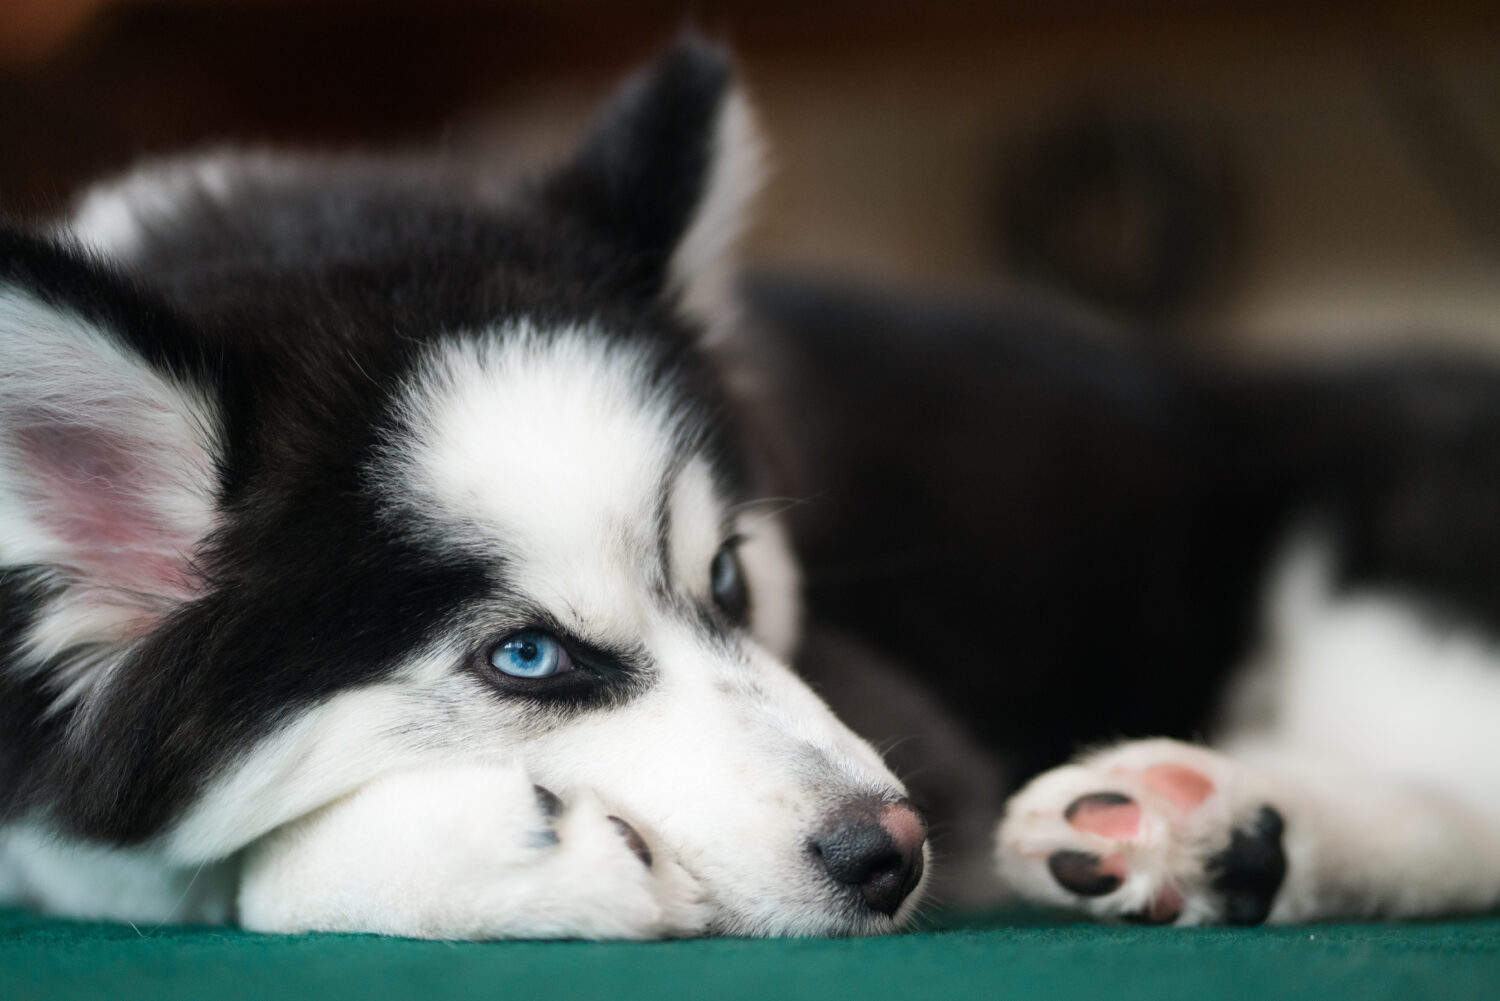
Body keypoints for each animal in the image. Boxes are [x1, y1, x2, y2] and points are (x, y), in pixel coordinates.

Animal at [0, 39, 1494, 936]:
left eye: (726, 574)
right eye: (527, 656)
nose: (892, 852)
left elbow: (244, 886)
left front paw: (498, 852)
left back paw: (1223, 825)